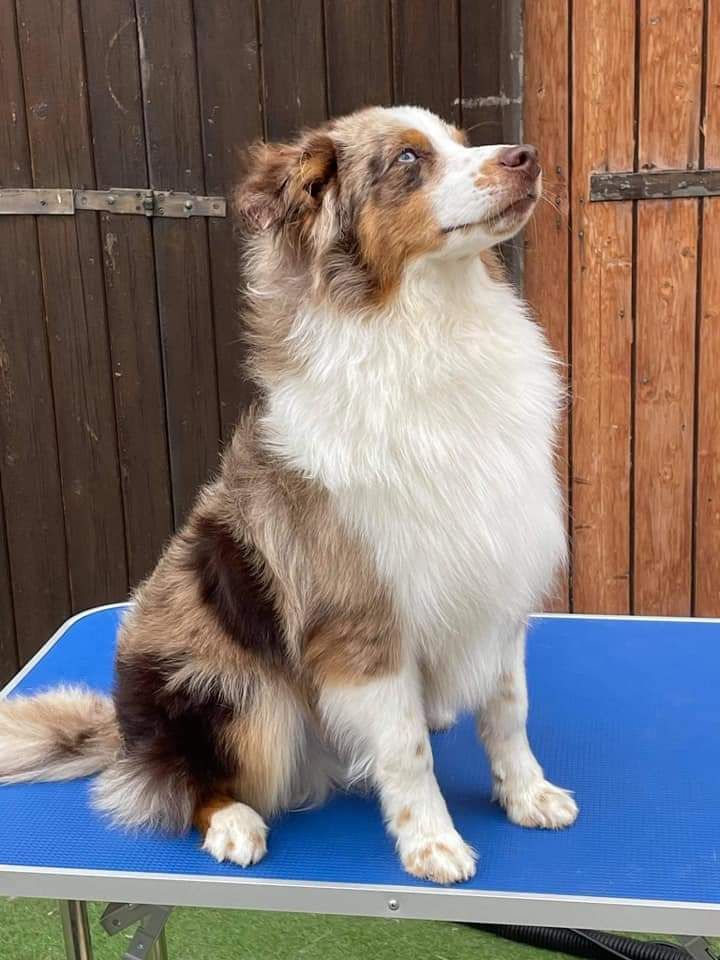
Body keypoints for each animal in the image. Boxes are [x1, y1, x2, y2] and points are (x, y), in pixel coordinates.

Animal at [0, 106, 577, 885]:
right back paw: (232, 823)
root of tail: (126, 733)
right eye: (408, 159)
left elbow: (509, 711)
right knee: (188, 784)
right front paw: (431, 843)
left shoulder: (498, 578)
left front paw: (527, 795)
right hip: (241, 698)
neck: (428, 324)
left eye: (461, 141)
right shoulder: (362, 617)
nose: (528, 157)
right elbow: (405, 751)